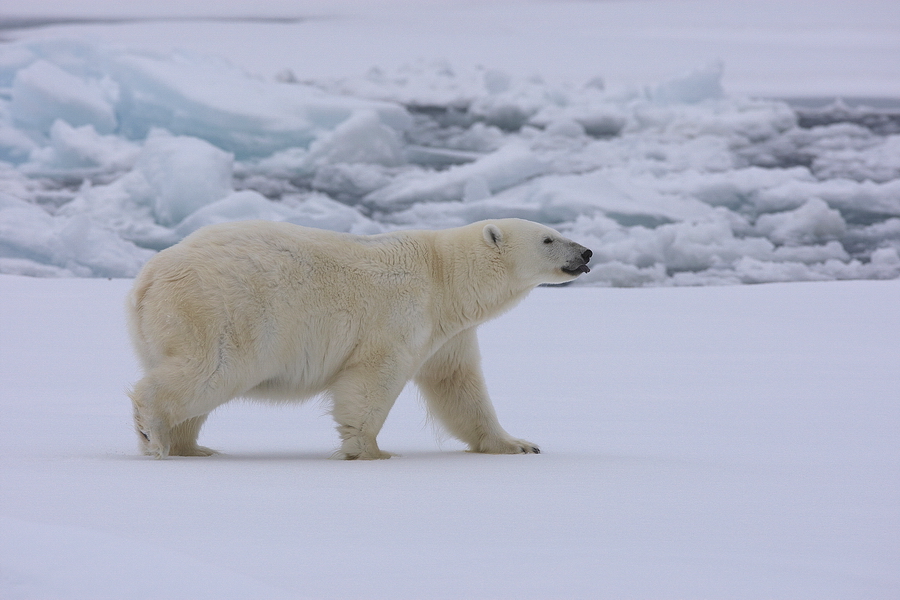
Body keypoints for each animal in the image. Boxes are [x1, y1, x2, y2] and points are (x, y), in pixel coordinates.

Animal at [126, 220, 592, 460]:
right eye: (549, 237)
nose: (586, 252)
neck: (442, 274)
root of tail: (146, 279)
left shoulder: (450, 332)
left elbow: (458, 386)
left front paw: (519, 444)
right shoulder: (402, 313)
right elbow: (372, 378)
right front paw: (370, 451)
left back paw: (192, 447)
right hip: (222, 314)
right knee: (210, 372)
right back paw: (155, 436)